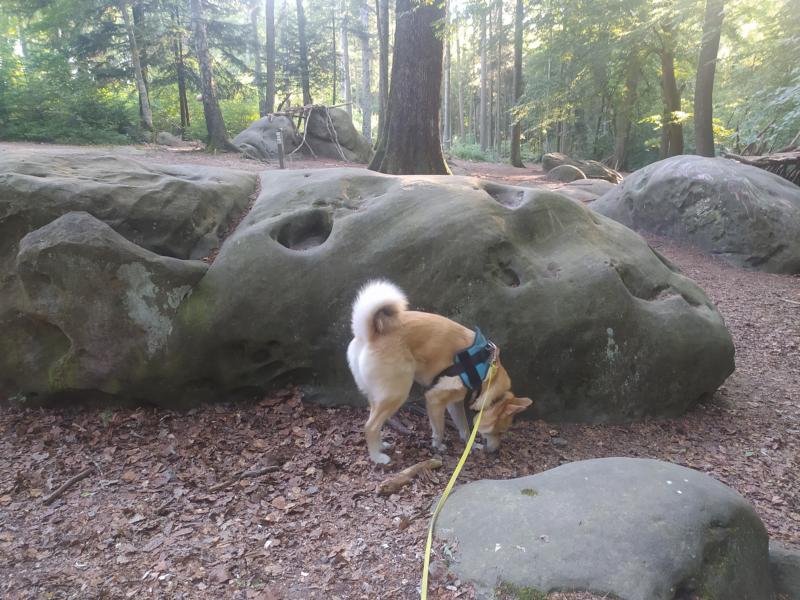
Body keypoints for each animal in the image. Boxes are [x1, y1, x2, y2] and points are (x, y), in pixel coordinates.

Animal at [344, 282, 532, 464]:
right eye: (500, 432)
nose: (496, 451)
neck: (488, 376)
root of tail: (371, 334)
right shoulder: (434, 399)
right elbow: (439, 428)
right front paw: (438, 446)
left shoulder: (455, 403)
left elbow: (464, 427)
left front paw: (471, 446)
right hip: (397, 394)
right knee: (370, 426)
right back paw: (377, 457)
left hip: (379, 396)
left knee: (375, 421)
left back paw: (380, 445)